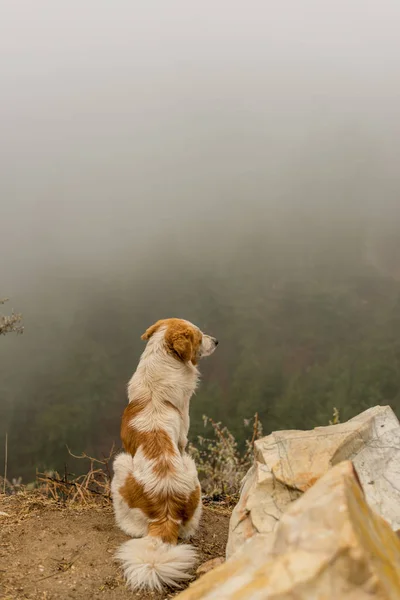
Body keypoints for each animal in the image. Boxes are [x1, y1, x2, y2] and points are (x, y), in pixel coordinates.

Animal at [111, 318, 219, 592]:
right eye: (199, 336)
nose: (216, 341)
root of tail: (166, 512)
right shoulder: (183, 443)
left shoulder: (182, 440)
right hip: (191, 472)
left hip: (121, 462)